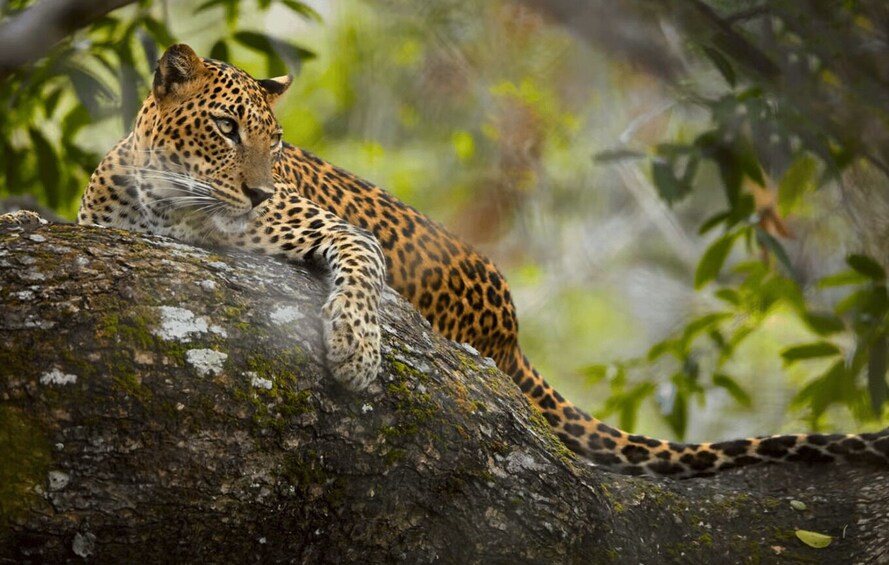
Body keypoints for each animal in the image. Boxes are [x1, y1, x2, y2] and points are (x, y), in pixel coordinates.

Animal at [27, 44, 889, 477]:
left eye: (274, 139)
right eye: (227, 127)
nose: (257, 189)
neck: (163, 197)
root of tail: (511, 332)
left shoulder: (335, 229)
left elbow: (358, 274)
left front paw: (354, 352)